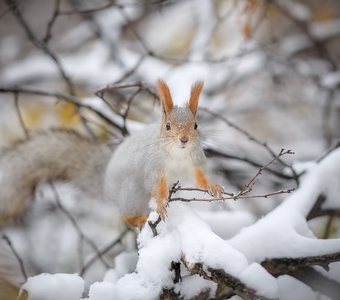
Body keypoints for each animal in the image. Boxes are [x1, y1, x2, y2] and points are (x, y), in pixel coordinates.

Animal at [0, 79, 223, 227]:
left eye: (196, 125)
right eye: (168, 126)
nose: (184, 140)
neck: (178, 154)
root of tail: (107, 185)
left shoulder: (196, 161)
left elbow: (201, 178)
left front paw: (214, 187)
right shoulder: (153, 166)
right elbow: (155, 185)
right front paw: (160, 204)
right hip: (133, 191)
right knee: (125, 215)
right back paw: (138, 218)